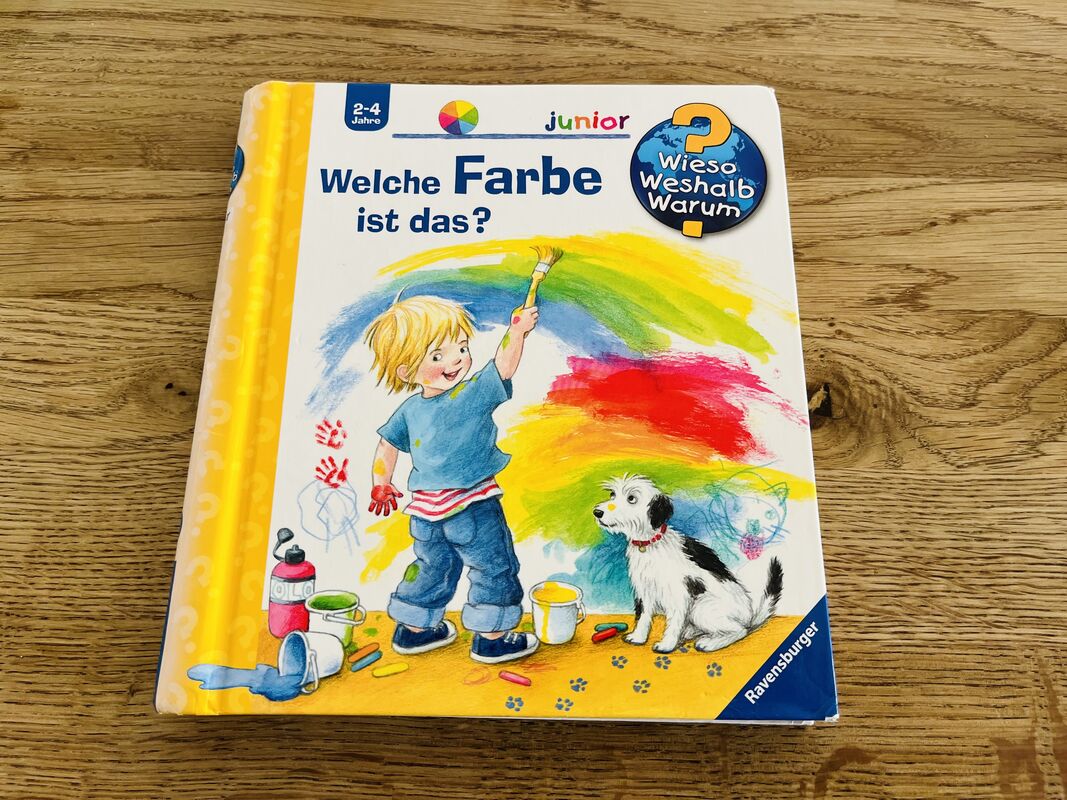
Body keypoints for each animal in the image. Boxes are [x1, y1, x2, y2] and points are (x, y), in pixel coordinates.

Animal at [593, 474, 783, 653]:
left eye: (631, 498)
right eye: (612, 494)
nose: (597, 512)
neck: (650, 544)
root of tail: (750, 615)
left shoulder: (679, 593)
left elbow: (674, 621)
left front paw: (667, 645)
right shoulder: (644, 590)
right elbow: (644, 616)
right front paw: (638, 637)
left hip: (702, 607)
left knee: (739, 630)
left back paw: (710, 643)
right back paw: (691, 632)